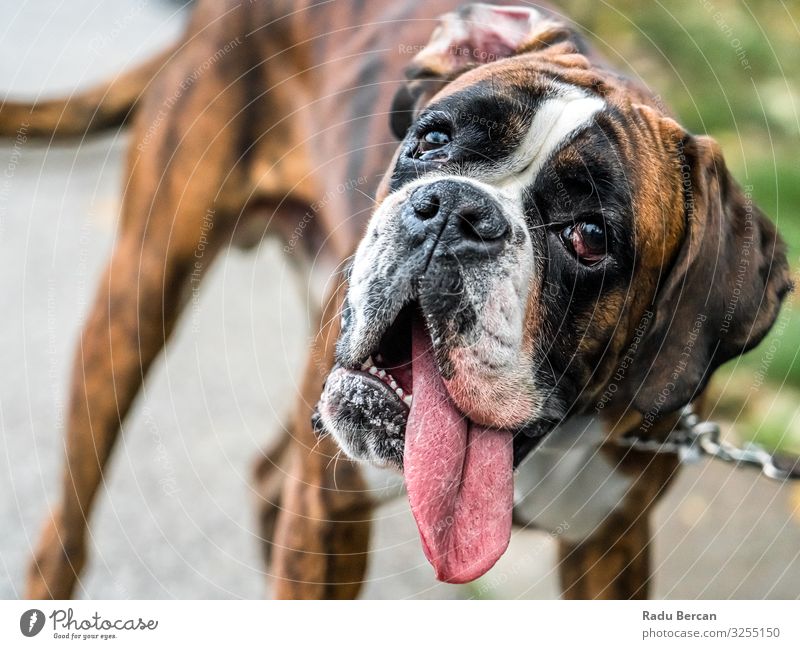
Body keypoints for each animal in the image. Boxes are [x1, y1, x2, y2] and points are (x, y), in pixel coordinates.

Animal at [6, 1, 792, 596]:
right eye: (432, 140)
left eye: (590, 237)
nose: (454, 211)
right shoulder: (329, 512)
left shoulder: (609, 547)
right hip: (136, 301)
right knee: (67, 528)